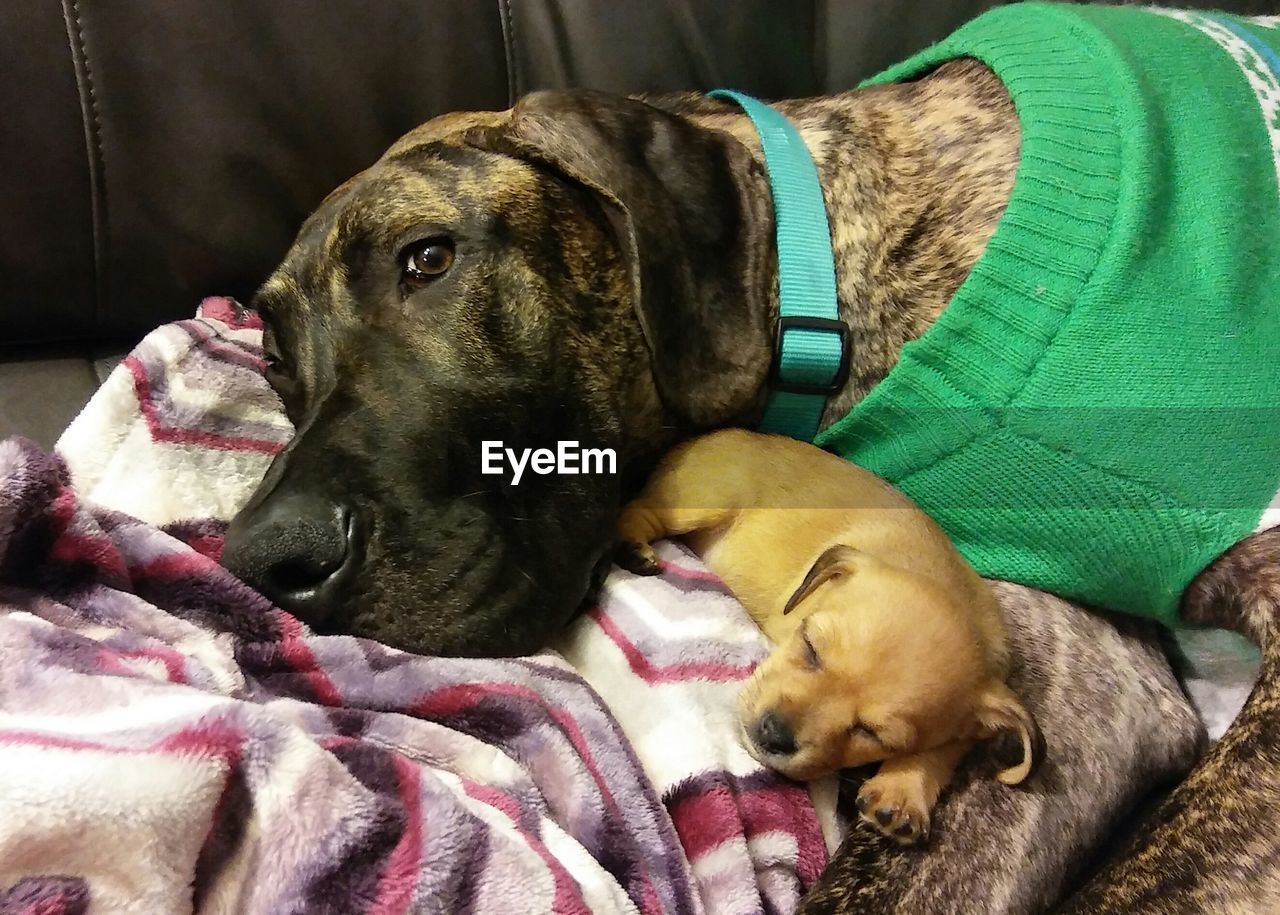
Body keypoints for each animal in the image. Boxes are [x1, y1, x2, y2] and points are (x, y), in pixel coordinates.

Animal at [614, 429, 1044, 844]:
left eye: (872, 733)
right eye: (810, 647)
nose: (774, 734)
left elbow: (945, 746)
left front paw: (905, 788)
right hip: (702, 501)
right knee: (639, 508)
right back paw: (631, 545)